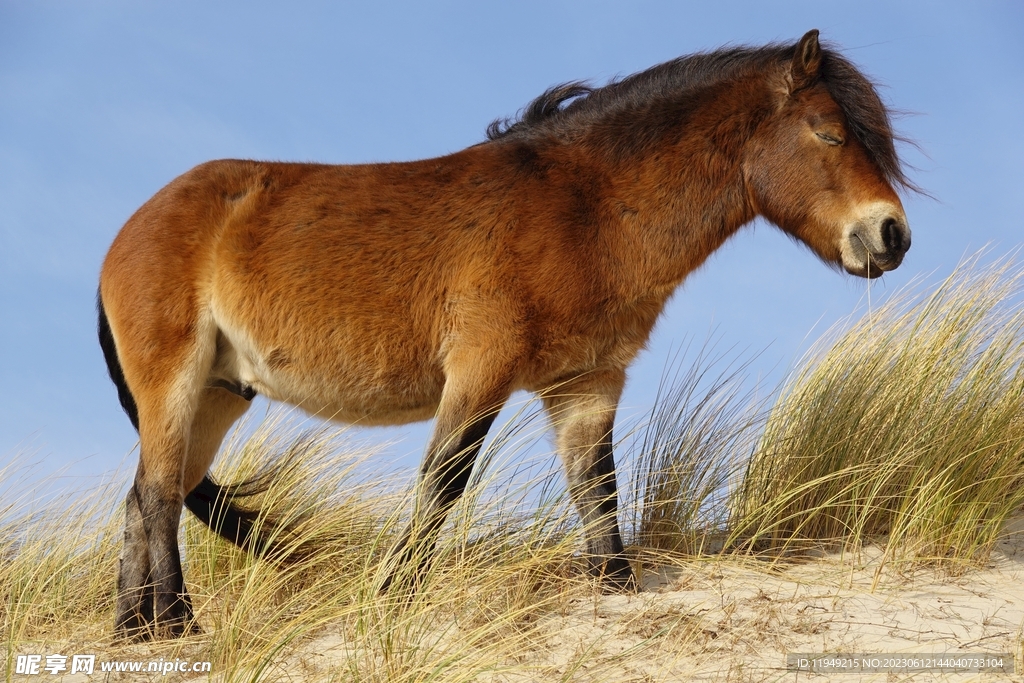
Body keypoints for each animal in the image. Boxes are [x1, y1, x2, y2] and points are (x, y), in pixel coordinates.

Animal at [97, 29, 911, 639]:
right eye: (828, 133)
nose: (891, 235)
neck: (585, 208)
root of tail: (131, 229)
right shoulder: (481, 372)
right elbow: (442, 486)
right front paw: (393, 597)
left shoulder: (586, 384)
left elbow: (598, 497)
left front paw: (615, 590)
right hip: (176, 383)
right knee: (158, 494)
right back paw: (173, 624)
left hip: (220, 393)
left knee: (144, 498)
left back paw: (136, 630)